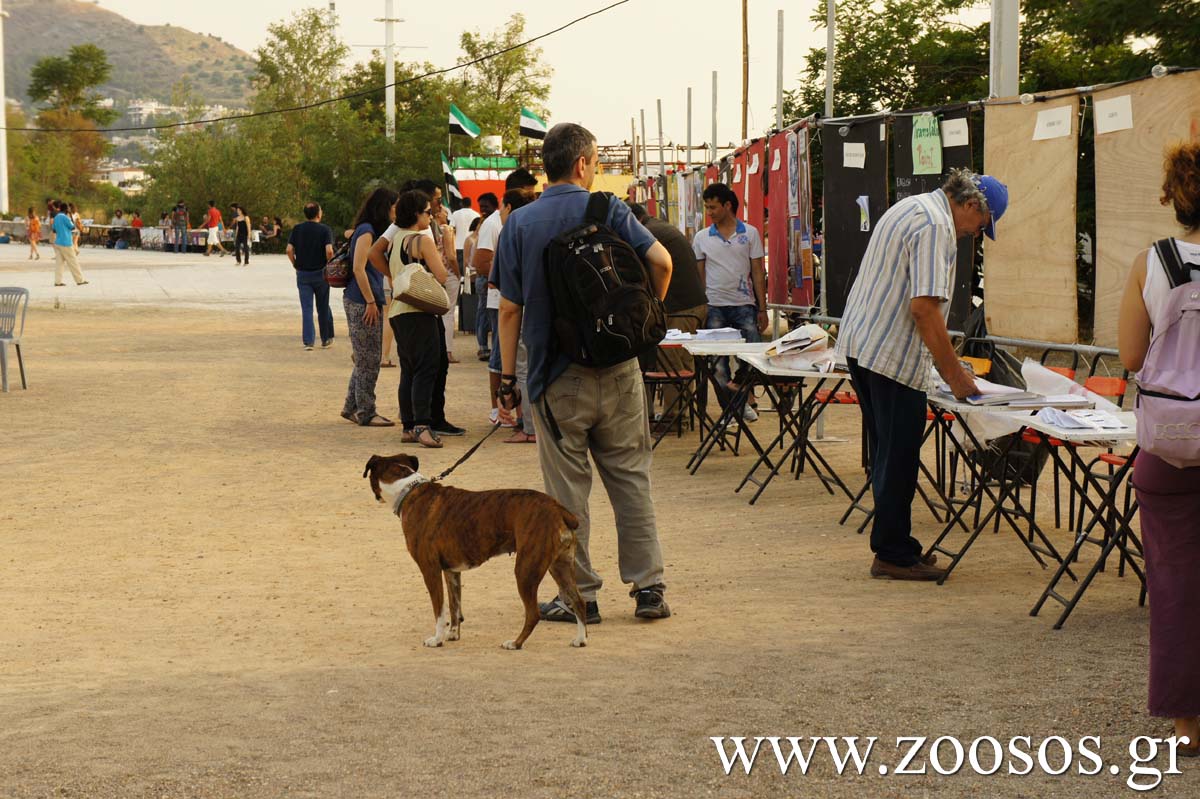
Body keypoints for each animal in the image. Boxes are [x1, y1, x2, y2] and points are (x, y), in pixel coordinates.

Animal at [363, 453, 589, 650]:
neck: (408, 490)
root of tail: (558, 508)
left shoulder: (430, 570)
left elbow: (439, 610)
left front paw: (437, 639)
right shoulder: (451, 571)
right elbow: (454, 606)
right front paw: (453, 634)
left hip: (526, 570)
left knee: (533, 614)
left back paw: (515, 643)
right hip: (560, 566)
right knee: (578, 601)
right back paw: (581, 639)